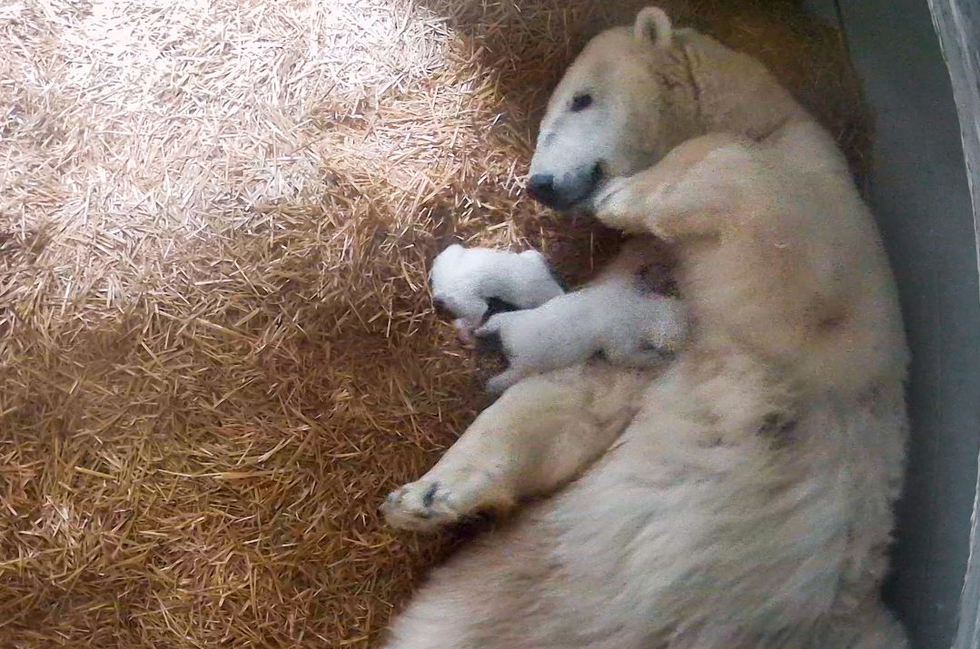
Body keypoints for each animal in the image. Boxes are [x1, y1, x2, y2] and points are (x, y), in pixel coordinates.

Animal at [380, 6, 912, 648]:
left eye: (580, 99)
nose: (541, 184)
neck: (764, 119)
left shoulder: (829, 229)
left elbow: (760, 218)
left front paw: (622, 195)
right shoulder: (642, 294)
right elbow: (577, 395)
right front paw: (423, 496)